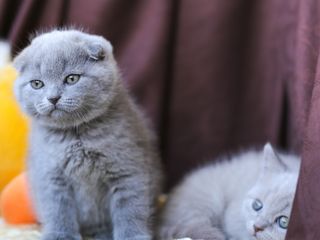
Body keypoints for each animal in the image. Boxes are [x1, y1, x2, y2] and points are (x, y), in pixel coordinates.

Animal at [12, 30, 162, 240]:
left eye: (72, 79)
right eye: (37, 84)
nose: (53, 98)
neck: (75, 136)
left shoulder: (128, 169)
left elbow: (130, 208)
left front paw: (132, 236)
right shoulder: (50, 174)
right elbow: (57, 209)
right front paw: (60, 234)